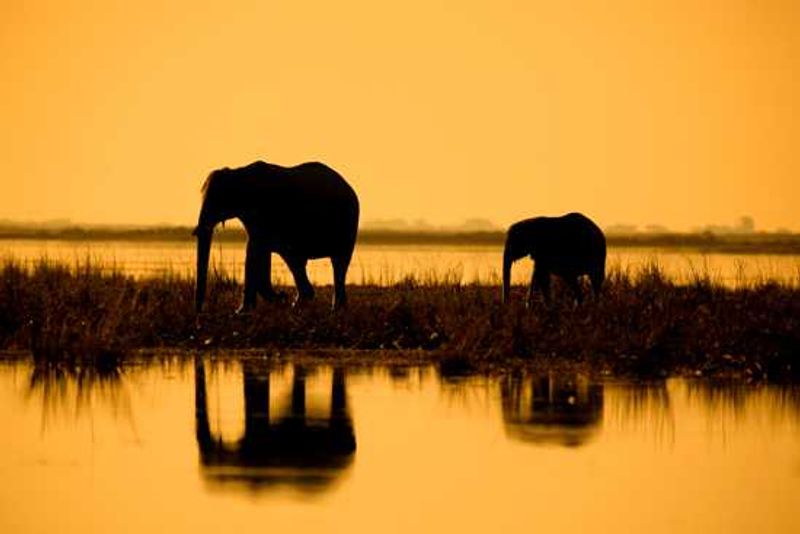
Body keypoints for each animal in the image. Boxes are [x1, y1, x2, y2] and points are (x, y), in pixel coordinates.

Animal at [193, 160, 360, 313]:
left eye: (217, 199)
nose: (201, 311)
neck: (238, 173)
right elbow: (256, 249)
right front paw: (255, 306)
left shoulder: (264, 211)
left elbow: (255, 249)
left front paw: (243, 311)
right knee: (297, 261)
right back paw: (305, 304)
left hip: (347, 224)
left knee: (337, 262)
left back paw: (329, 308)